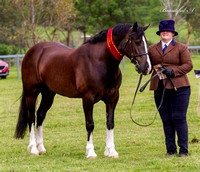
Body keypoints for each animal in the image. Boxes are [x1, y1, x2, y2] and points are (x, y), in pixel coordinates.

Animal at [14, 22, 151, 159]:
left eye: (145, 41)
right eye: (137, 41)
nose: (147, 68)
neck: (99, 62)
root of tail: (32, 51)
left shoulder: (113, 97)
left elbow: (110, 123)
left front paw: (111, 151)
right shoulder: (88, 98)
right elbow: (90, 124)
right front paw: (90, 152)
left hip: (48, 94)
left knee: (40, 114)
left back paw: (41, 147)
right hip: (31, 93)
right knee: (31, 117)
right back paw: (33, 149)